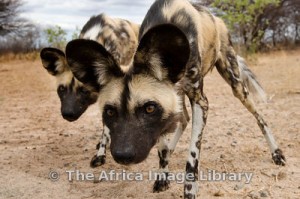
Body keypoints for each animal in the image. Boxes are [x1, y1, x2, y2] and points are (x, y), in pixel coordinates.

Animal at [65, 0, 286, 198]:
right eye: (110, 112)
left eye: (149, 109)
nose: (122, 155)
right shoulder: (164, 113)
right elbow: (162, 148)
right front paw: (163, 176)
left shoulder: (201, 102)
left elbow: (193, 156)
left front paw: (189, 190)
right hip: (180, 94)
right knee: (183, 120)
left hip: (236, 84)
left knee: (260, 118)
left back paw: (276, 153)